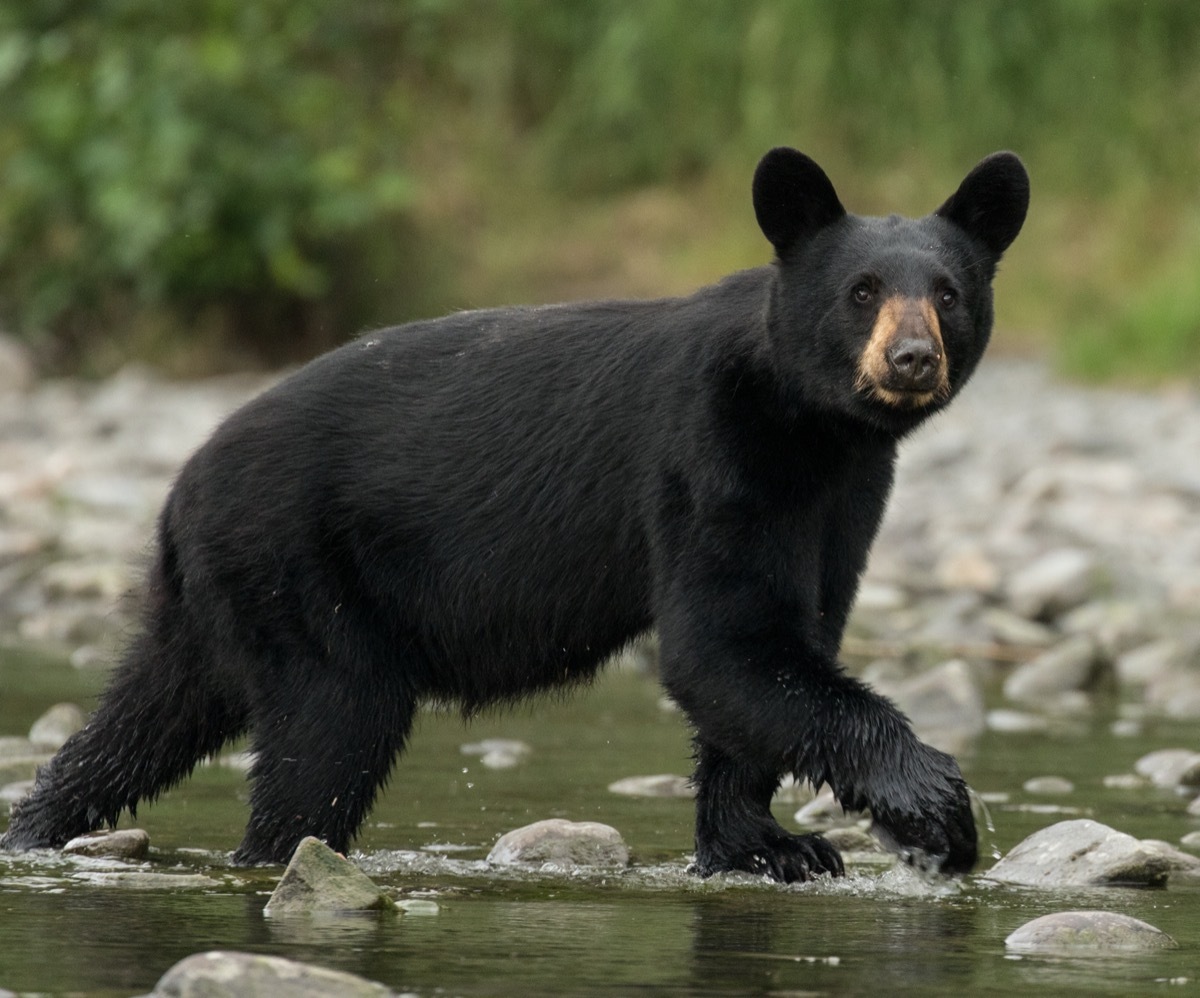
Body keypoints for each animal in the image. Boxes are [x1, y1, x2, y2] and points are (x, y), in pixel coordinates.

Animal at [2, 148, 1029, 881]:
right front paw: (936, 810)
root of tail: (182, 484)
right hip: (296, 569)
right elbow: (724, 642)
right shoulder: (711, 453)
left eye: (947, 294)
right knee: (325, 733)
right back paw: (276, 856)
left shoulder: (845, 497)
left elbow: (782, 642)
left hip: (216, 596)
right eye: (862, 293)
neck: (811, 426)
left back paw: (39, 825)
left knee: (147, 714)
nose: (910, 360)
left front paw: (767, 846)